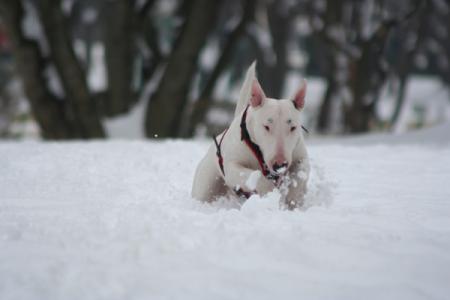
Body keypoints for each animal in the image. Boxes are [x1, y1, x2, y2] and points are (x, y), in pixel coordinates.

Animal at [190, 62, 310, 210]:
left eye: (293, 127)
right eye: (266, 126)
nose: (280, 164)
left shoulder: (299, 155)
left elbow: (301, 172)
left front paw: (293, 198)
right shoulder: (232, 167)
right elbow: (256, 177)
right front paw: (269, 193)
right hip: (206, 184)